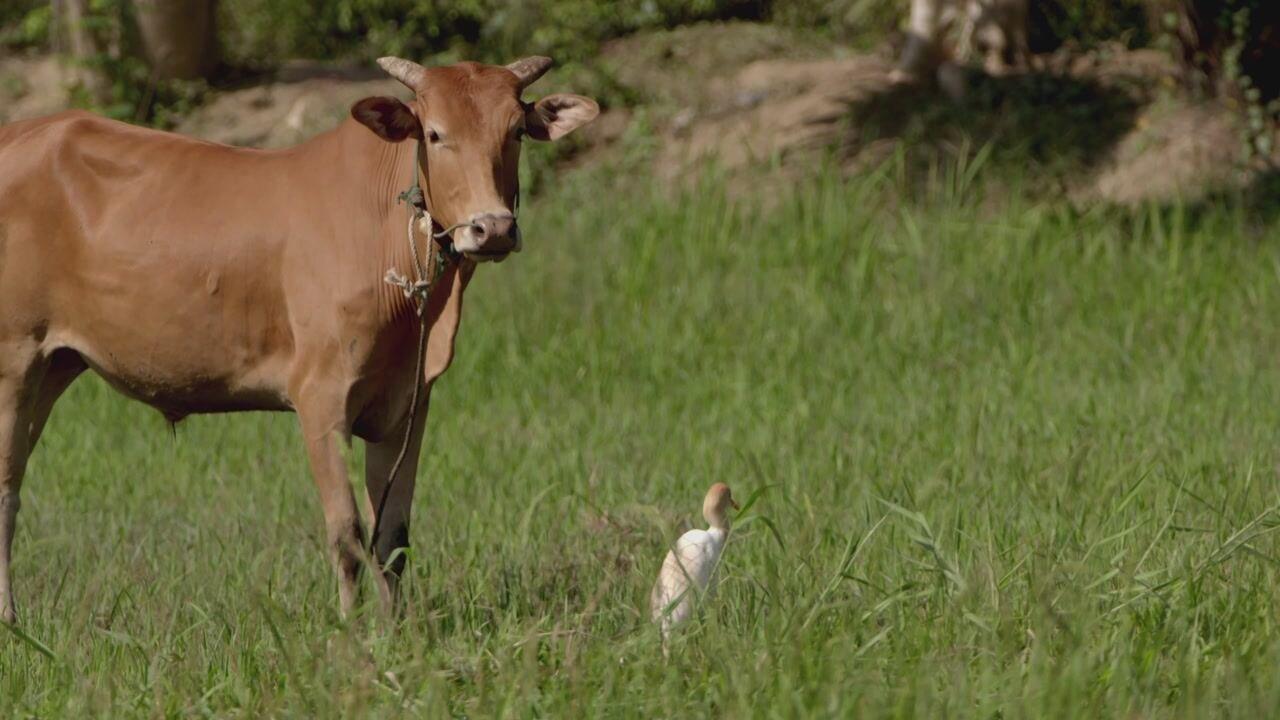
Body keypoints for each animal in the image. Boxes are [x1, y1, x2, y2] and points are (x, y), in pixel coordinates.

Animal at [0, 56, 599, 620]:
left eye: (515, 131)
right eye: (434, 133)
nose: (492, 228)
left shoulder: (407, 404)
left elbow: (392, 538)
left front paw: (396, 629)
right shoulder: (321, 396)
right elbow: (347, 535)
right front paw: (352, 629)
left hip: (54, 365)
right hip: (14, 361)